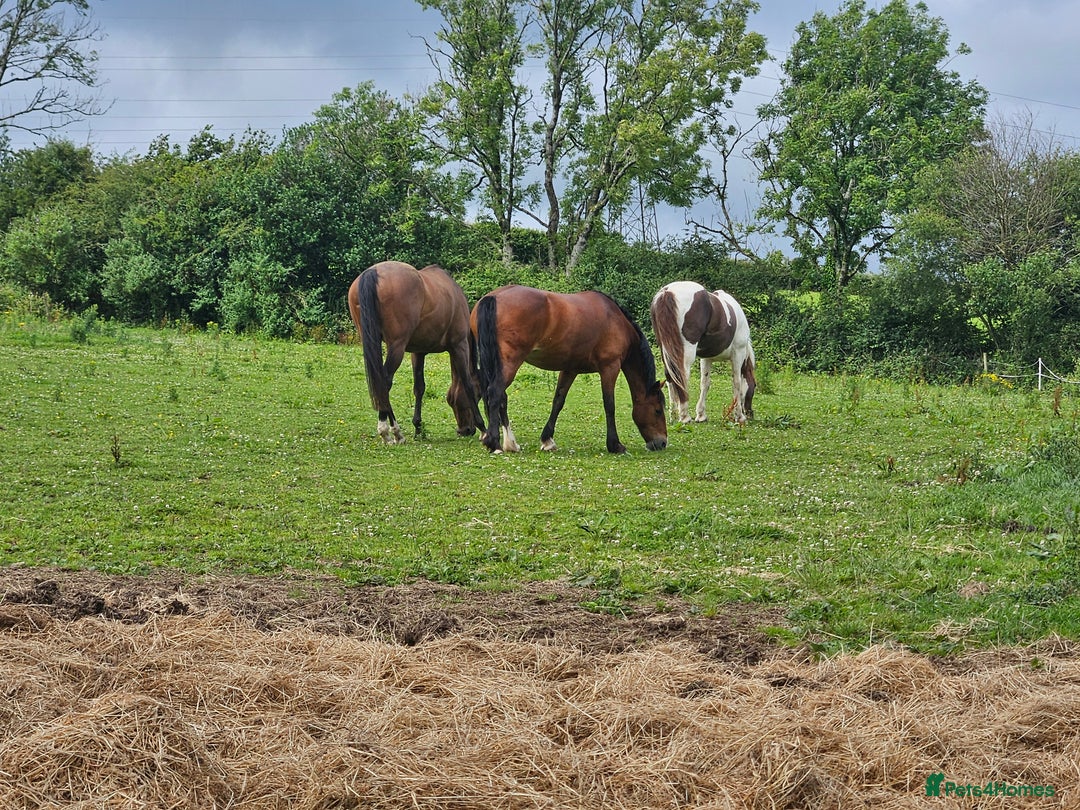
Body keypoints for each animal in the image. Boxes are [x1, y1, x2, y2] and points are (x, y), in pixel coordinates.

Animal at [347, 261, 484, 444]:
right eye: (479, 394)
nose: (466, 430)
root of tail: (372, 272)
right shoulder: (459, 346)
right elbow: (467, 383)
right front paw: (483, 426)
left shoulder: (418, 352)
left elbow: (419, 388)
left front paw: (418, 427)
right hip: (396, 347)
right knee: (384, 382)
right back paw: (389, 431)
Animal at [471, 285, 667, 454]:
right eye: (658, 410)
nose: (662, 443)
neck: (615, 320)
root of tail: (493, 297)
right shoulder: (610, 367)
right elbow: (609, 405)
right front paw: (615, 445)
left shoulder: (570, 369)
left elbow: (558, 401)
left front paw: (547, 440)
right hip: (510, 362)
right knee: (495, 393)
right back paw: (495, 443)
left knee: (498, 396)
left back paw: (510, 443)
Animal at [650, 281, 756, 424]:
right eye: (755, 386)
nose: (750, 414)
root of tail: (667, 292)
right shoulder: (738, 353)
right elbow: (737, 383)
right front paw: (739, 416)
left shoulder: (706, 358)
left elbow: (705, 383)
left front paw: (701, 415)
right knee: (681, 375)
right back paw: (684, 417)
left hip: (666, 350)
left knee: (670, 376)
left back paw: (673, 416)